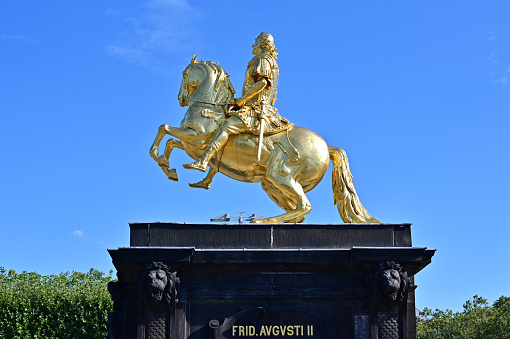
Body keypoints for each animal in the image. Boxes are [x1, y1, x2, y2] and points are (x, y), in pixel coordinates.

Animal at [148, 57, 378, 224]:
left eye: (184, 73)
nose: (181, 99)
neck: (208, 106)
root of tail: (327, 147)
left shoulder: (198, 138)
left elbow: (165, 129)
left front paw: (186, 165)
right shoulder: (190, 144)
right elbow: (170, 141)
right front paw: (168, 168)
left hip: (281, 176)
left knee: (304, 206)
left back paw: (261, 221)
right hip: (272, 184)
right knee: (299, 211)